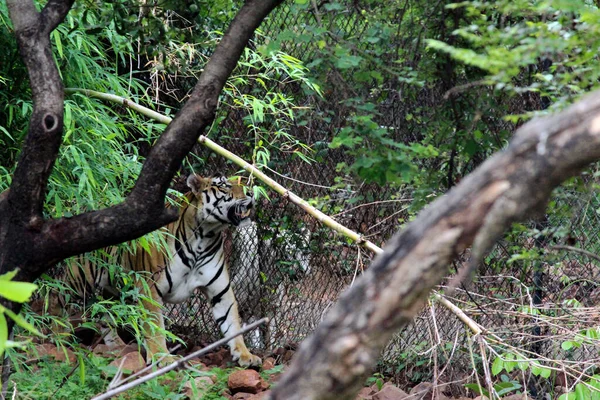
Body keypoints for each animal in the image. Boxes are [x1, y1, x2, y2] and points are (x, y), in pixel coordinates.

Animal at [51, 173, 260, 368]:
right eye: (224, 185)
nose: (251, 192)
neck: (205, 237)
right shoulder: (149, 289)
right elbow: (155, 326)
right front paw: (163, 358)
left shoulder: (220, 291)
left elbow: (232, 323)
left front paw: (245, 354)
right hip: (79, 279)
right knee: (57, 297)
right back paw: (58, 335)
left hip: (112, 289)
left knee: (106, 313)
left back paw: (116, 345)